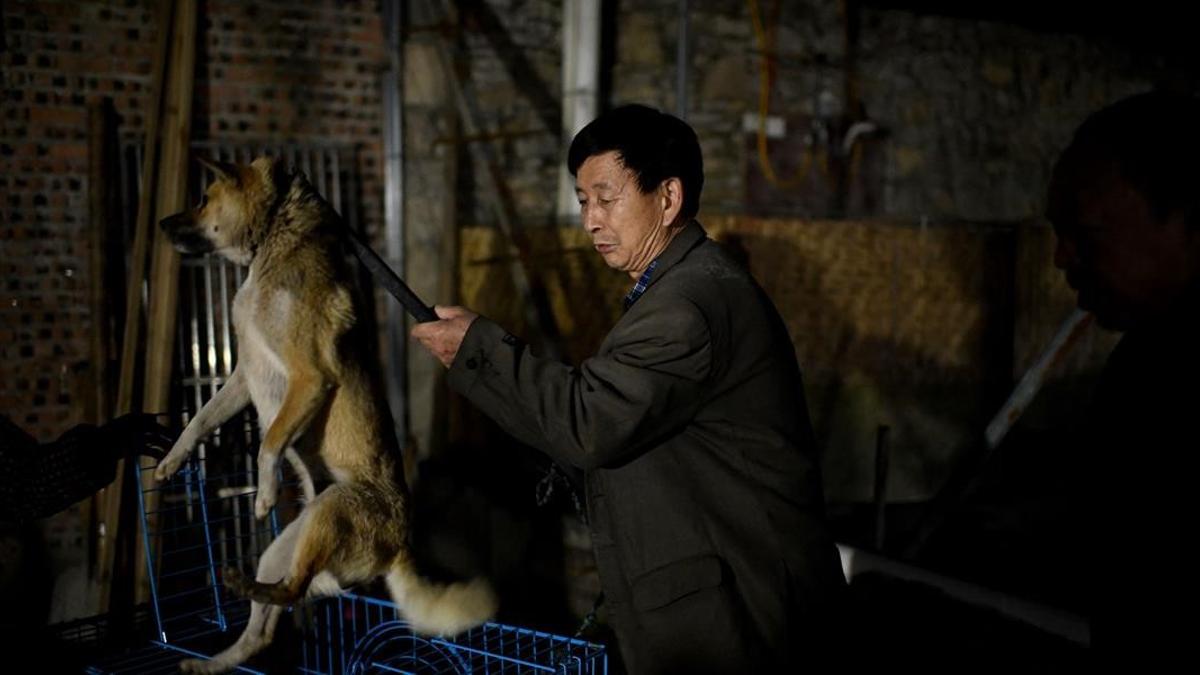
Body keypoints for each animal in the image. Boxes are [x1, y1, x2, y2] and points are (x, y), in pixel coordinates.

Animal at [157, 156, 499, 672]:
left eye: (201, 199)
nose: (161, 223)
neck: (272, 238)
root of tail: (399, 545)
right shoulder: (243, 376)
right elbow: (200, 418)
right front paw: (172, 460)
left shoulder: (310, 375)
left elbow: (270, 441)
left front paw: (264, 492)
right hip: (285, 548)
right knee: (267, 624)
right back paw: (212, 660)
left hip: (328, 515)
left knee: (292, 591)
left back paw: (241, 586)